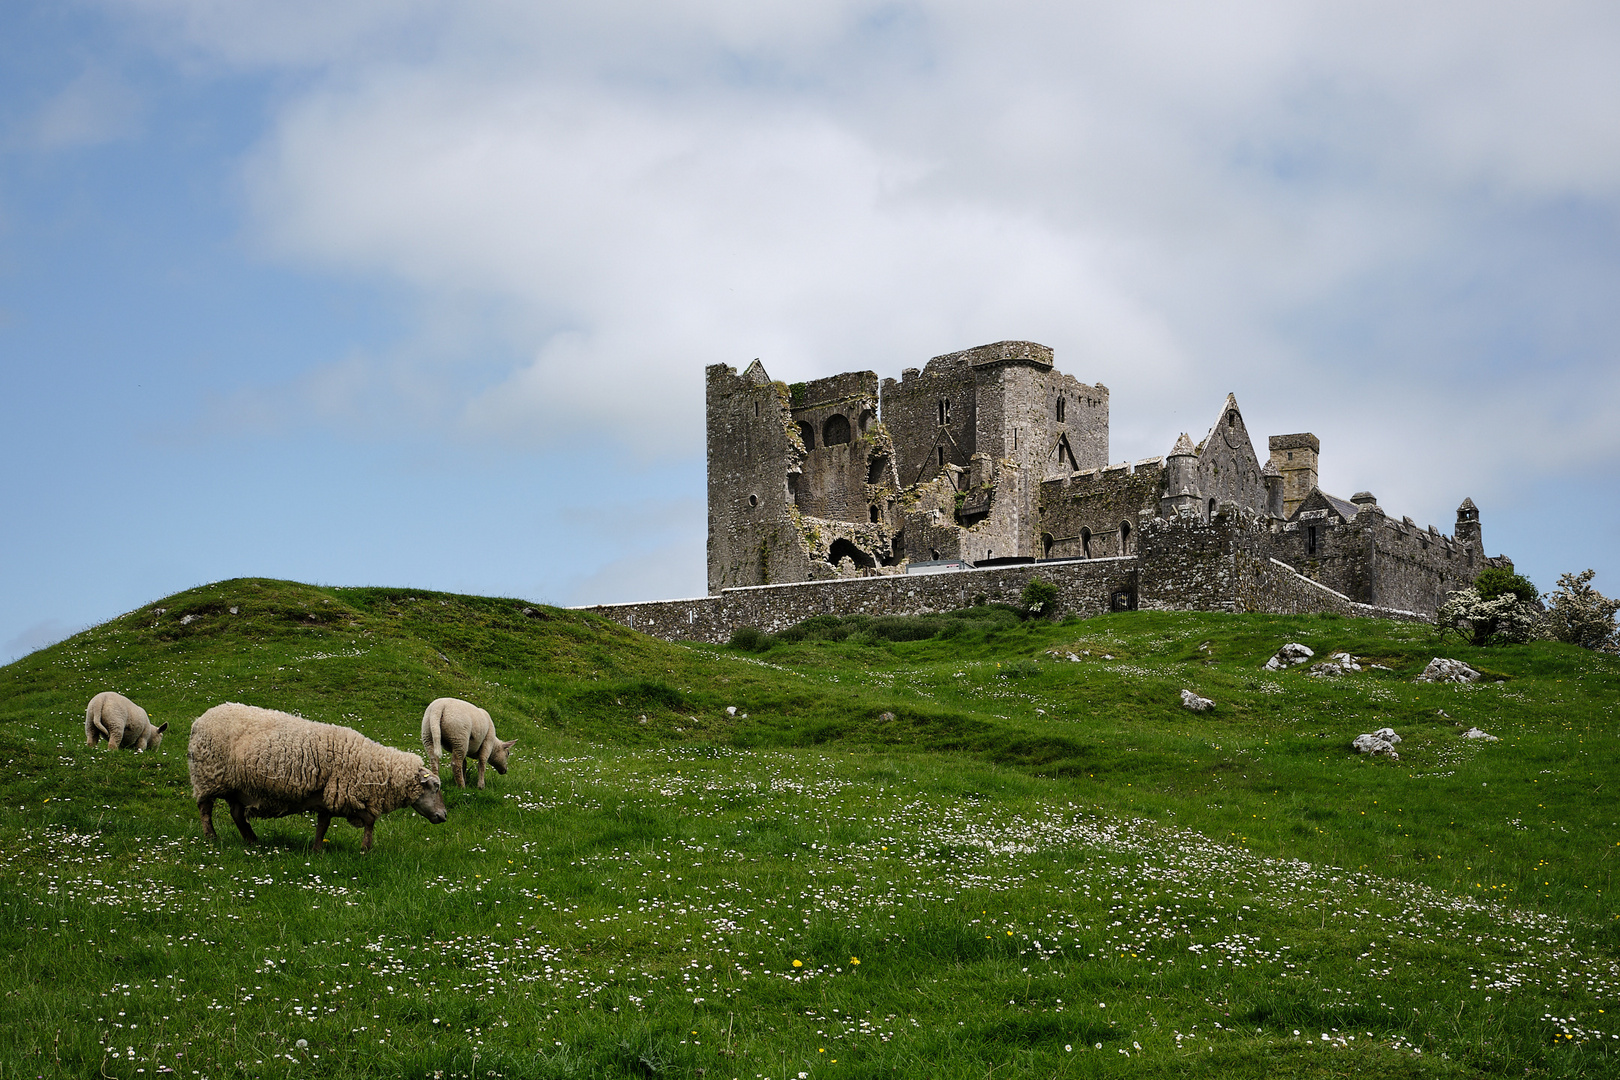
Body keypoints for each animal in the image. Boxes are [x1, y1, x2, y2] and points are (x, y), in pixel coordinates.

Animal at [187, 705, 447, 854]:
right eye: (435, 787)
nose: (444, 816)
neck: (374, 765)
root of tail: (199, 720)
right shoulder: (347, 793)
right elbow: (370, 822)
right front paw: (365, 849)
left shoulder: (330, 795)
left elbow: (323, 824)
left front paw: (317, 849)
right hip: (208, 776)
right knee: (205, 809)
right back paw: (211, 837)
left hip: (237, 787)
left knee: (237, 815)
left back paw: (252, 841)